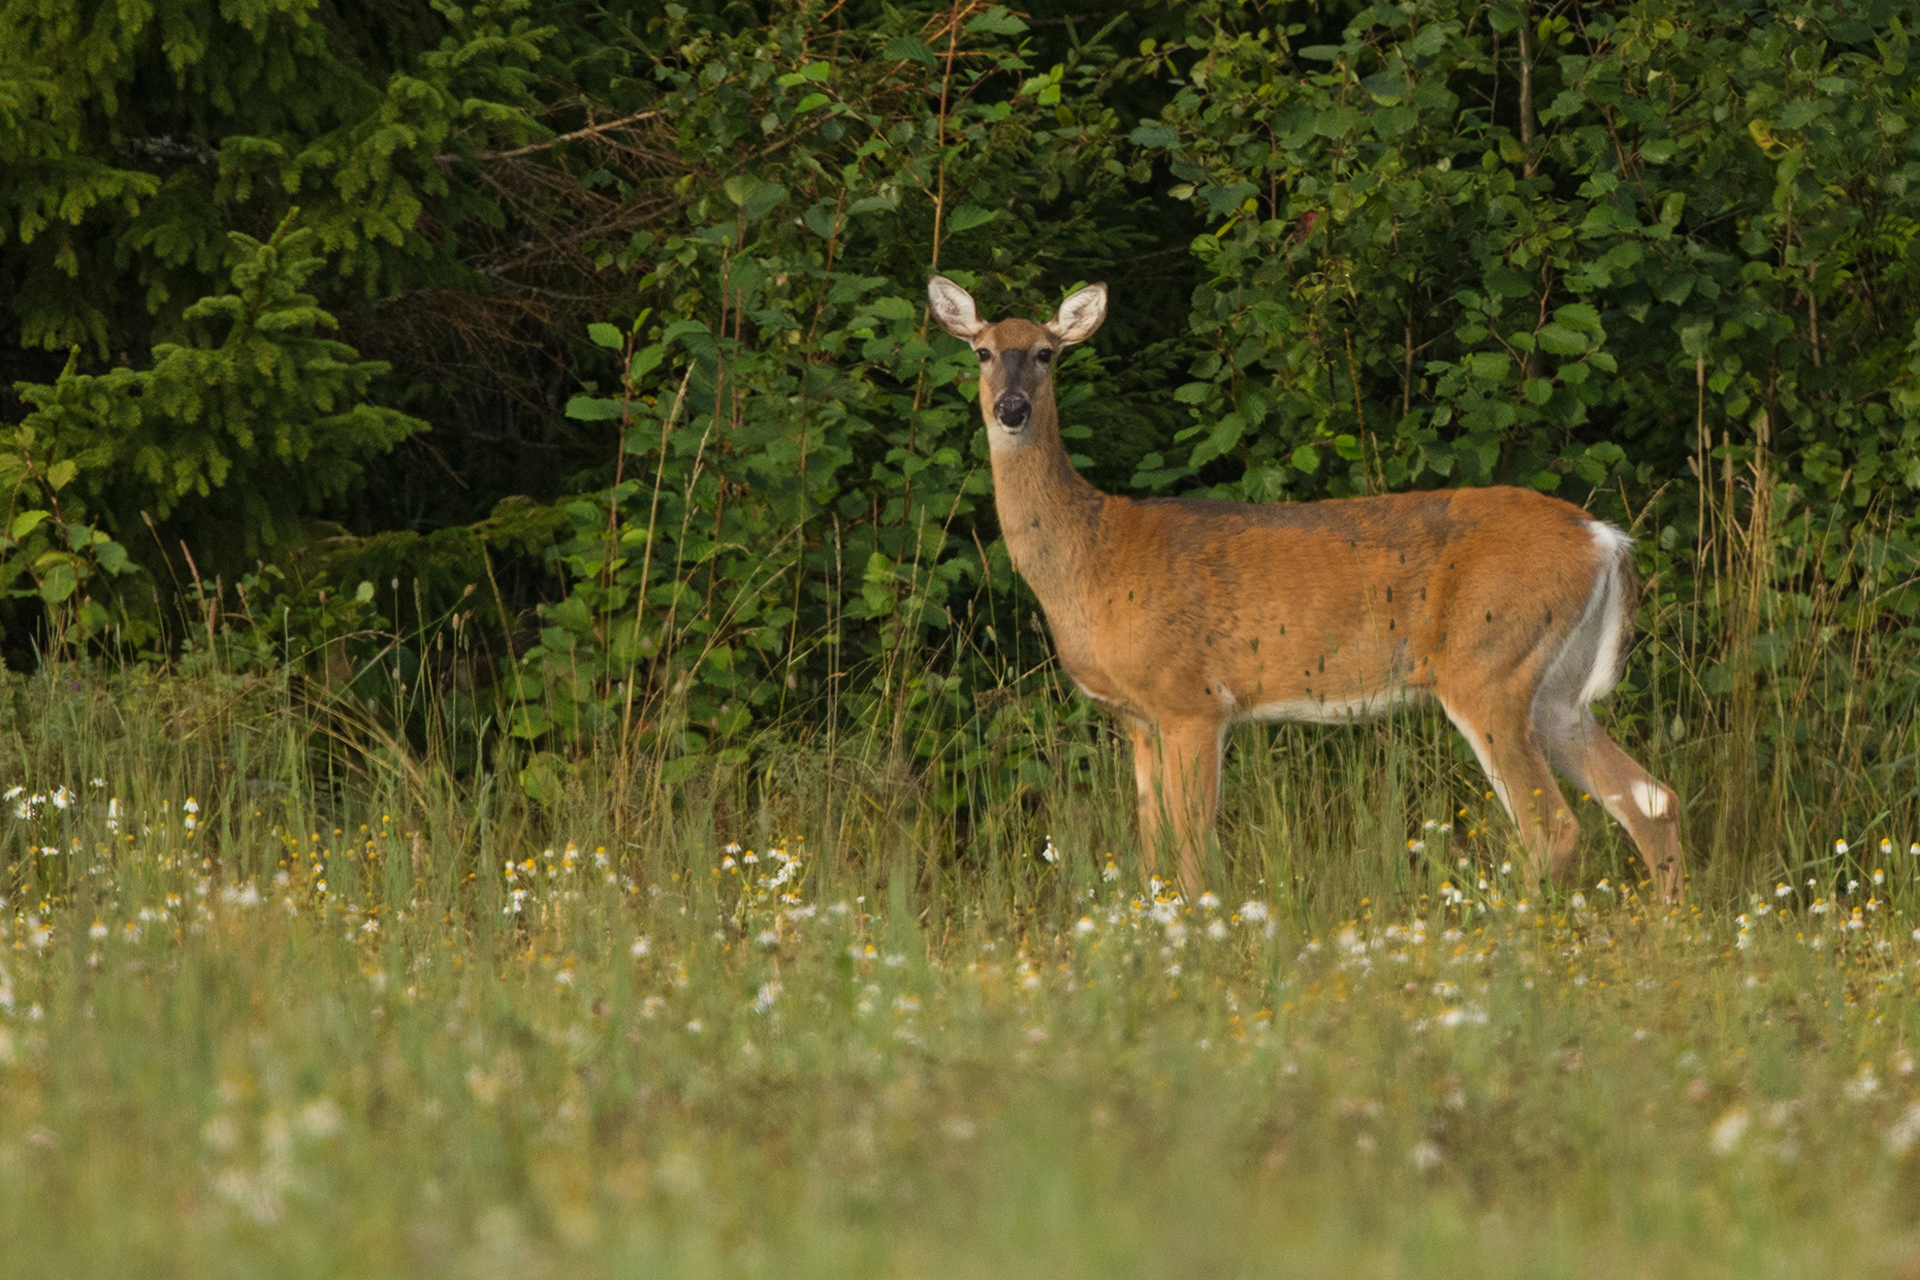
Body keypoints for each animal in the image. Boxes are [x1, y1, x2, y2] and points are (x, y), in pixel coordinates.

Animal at [929, 278, 1681, 901]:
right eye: (982, 352)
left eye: (1047, 353)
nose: (1012, 408)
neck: (1095, 557)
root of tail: (1603, 538)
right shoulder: (1138, 717)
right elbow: (1151, 849)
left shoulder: (1192, 699)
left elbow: (1194, 845)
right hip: (1553, 689)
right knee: (1649, 798)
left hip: (1488, 665)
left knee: (1554, 825)